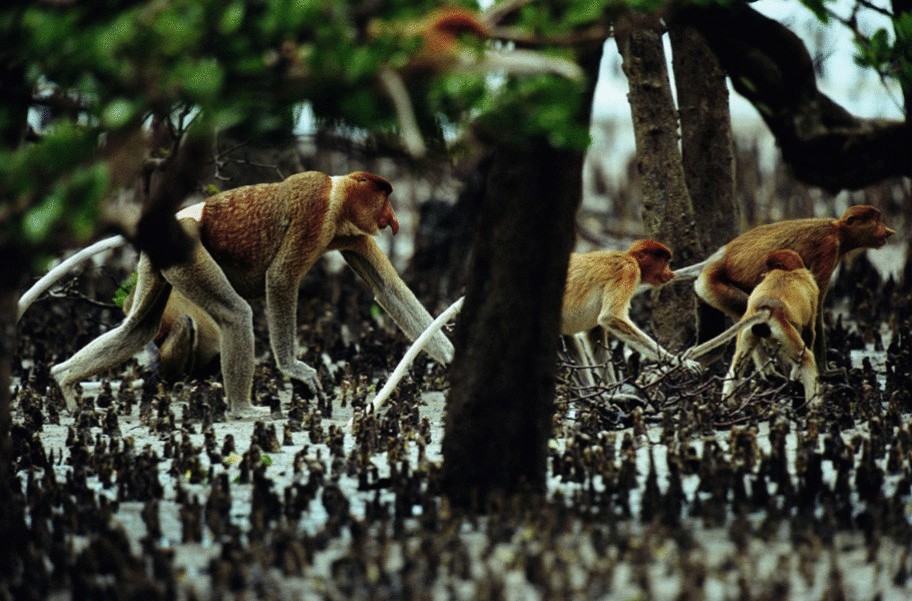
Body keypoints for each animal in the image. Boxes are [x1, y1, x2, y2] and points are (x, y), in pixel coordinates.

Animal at [44, 170, 454, 418]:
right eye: (384, 198)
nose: (394, 219)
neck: (338, 195)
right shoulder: (313, 211)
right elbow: (280, 279)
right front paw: (294, 369)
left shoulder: (350, 233)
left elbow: (387, 290)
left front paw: (451, 356)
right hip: (188, 251)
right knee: (236, 314)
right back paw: (242, 408)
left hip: (157, 262)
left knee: (137, 329)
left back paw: (64, 379)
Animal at [560, 240, 700, 372]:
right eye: (664, 262)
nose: (669, 272)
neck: (630, 257)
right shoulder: (628, 270)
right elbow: (610, 317)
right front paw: (679, 361)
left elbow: (595, 333)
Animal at [672, 205, 896, 366]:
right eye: (876, 221)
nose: (889, 231)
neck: (838, 229)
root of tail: (714, 260)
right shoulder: (828, 248)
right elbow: (814, 308)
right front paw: (826, 372)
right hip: (714, 286)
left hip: (704, 291)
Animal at [720, 248, 820, 408]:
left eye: (768, 266)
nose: (763, 275)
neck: (791, 270)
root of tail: (766, 307)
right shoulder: (813, 289)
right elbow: (810, 330)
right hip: (783, 329)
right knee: (806, 359)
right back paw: (812, 408)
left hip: (749, 329)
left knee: (737, 364)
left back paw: (726, 405)